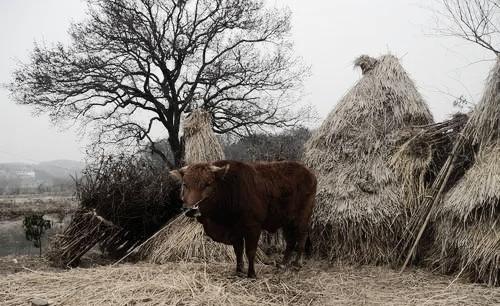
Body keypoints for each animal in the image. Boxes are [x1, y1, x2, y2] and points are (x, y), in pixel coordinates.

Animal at [170, 160, 314, 278]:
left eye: (208, 184)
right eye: (185, 184)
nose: (190, 209)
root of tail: (309, 173)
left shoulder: (253, 227)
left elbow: (250, 251)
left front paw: (251, 273)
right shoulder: (235, 230)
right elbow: (238, 250)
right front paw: (239, 270)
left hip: (302, 218)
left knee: (302, 236)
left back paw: (297, 263)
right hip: (286, 222)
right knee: (290, 241)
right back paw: (283, 264)